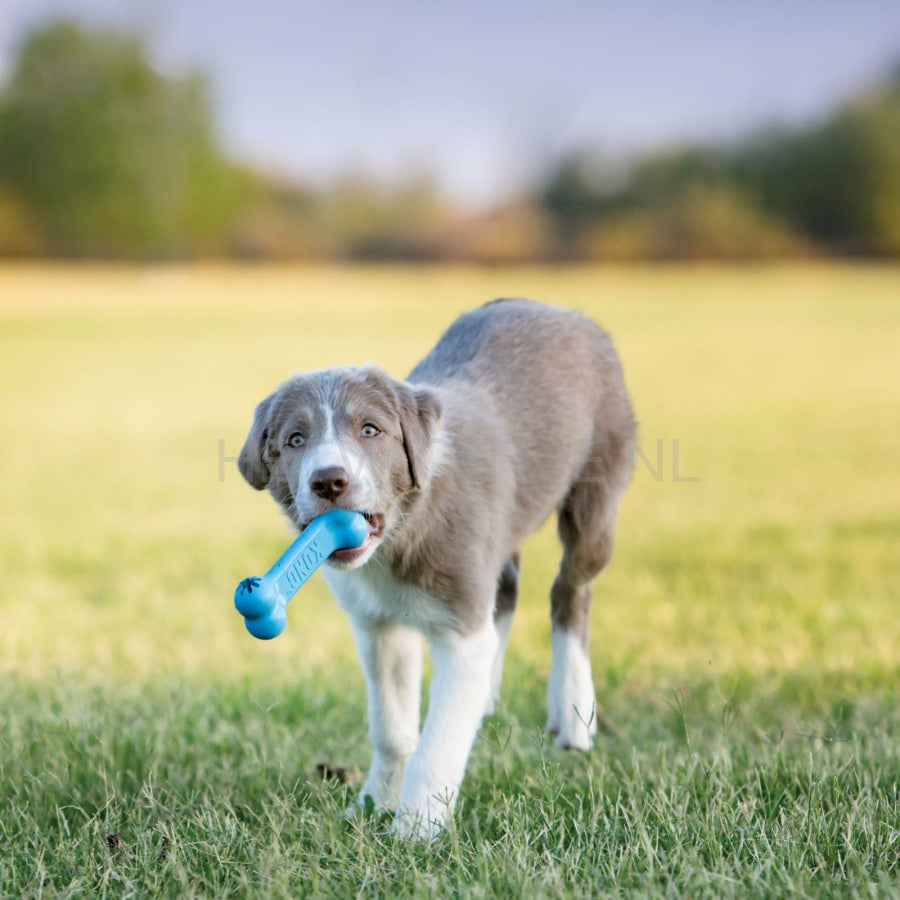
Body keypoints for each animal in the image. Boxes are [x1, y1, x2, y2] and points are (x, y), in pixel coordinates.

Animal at [236, 298, 636, 840]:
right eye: (295, 439)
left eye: (371, 430)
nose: (330, 481)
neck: (399, 535)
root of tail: (562, 310)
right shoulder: (379, 625)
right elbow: (392, 729)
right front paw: (373, 802)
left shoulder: (459, 626)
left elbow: (438, 740)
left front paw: (416, 829)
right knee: (506, 588)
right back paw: (488, 695)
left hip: (597, 492)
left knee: (570, 590)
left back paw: (574, 712)